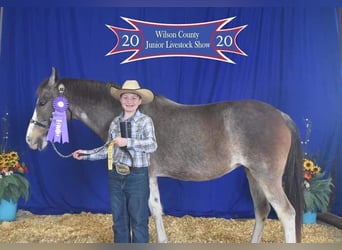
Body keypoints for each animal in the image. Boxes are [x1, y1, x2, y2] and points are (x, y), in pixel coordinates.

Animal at [26, 67, 304, 243]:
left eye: (43, 102)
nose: (31, 140)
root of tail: (281, 115)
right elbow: (155, 207)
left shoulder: (145, 173)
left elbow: (152, 207)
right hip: (252, 174)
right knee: (261, 210)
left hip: (266, 177)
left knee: (286, 213)